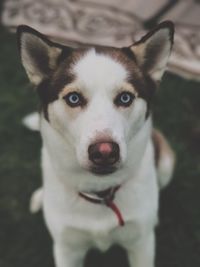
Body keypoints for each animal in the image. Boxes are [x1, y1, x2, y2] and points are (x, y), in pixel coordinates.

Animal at [18, 21, 175, 267]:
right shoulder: (66, 249)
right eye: (73, 98)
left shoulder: (141, 245)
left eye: (125, 98)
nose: (104, 152)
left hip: (167, 165)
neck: (100, 194)